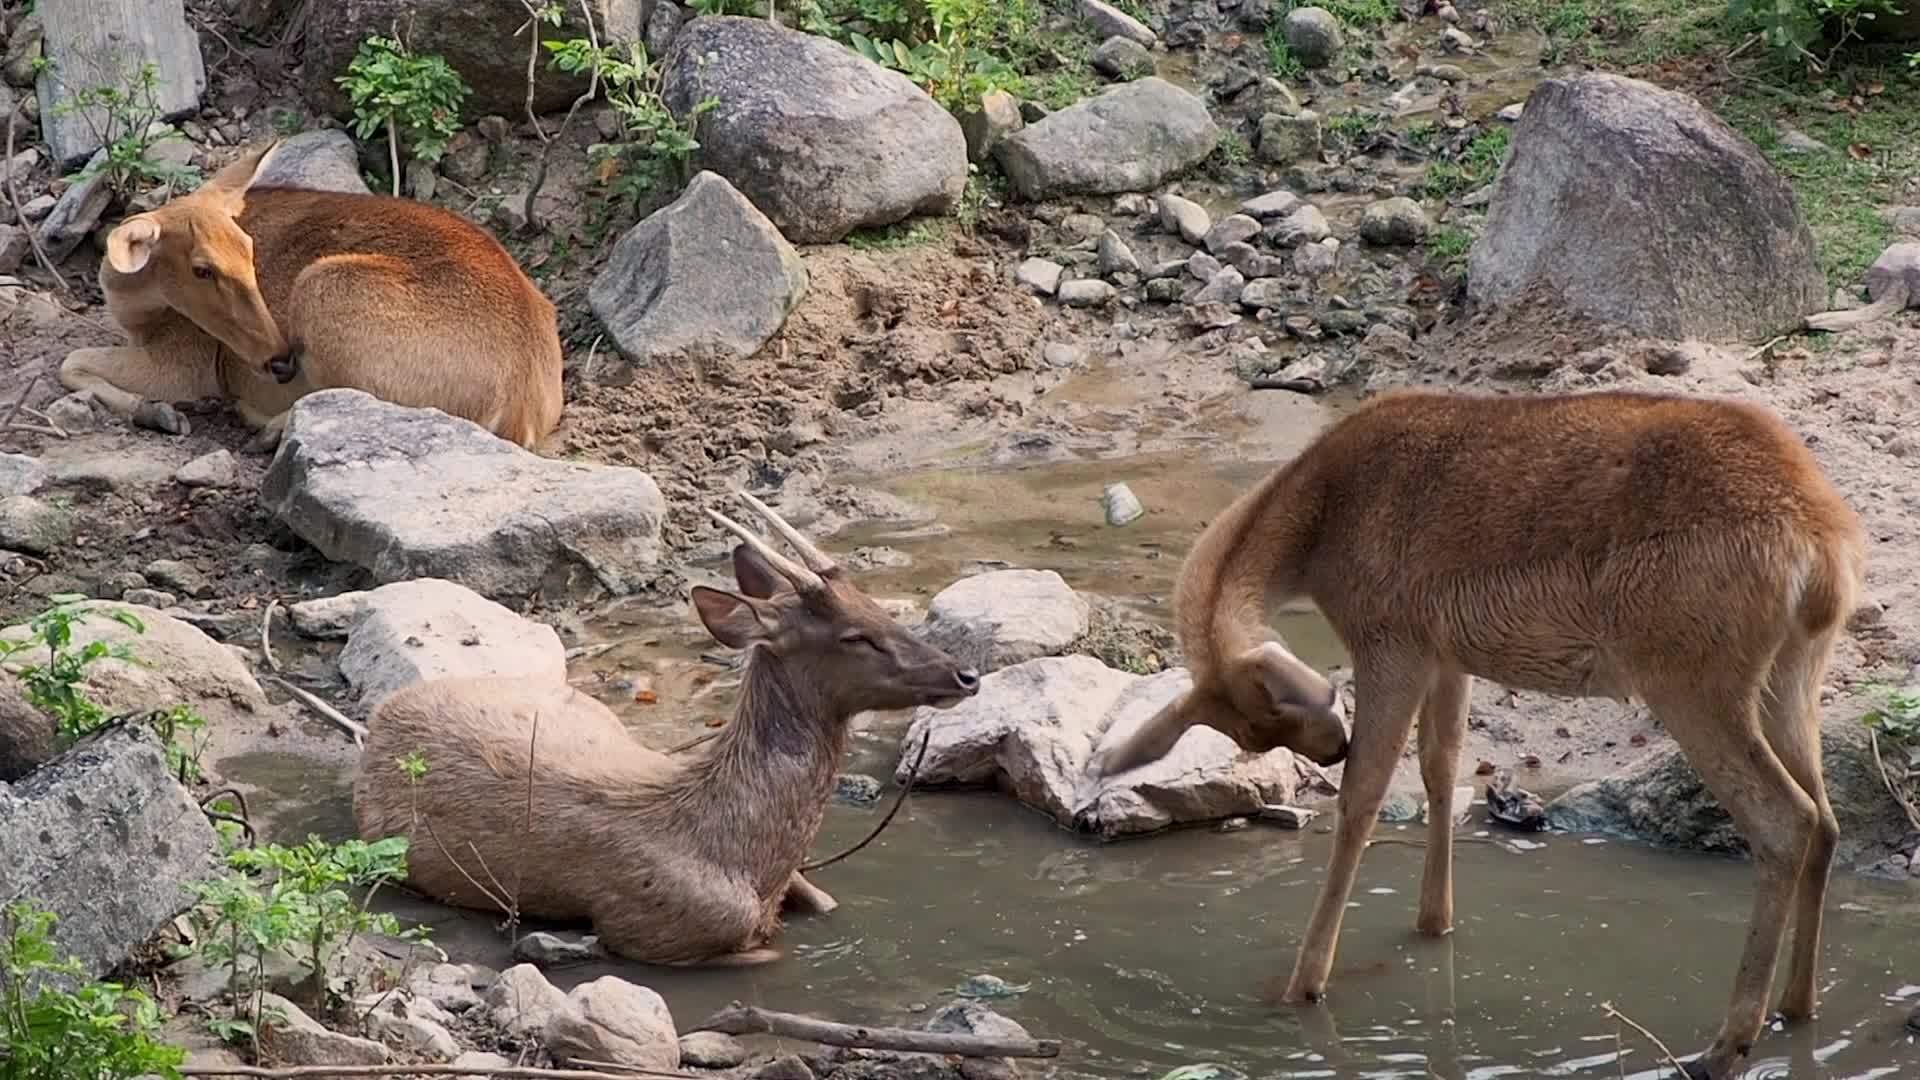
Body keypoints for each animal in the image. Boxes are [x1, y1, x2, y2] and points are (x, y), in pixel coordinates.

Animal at [54, 137, 560, 449]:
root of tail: (520, 407)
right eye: (202, 269)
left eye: (249, 249)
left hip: (325, 289)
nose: (280, 359)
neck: (133, 306)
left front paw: (160, 413)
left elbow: (69, 362)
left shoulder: (185, 363)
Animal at [355, 491, 983, 960]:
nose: (967, 673)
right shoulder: (645, 931)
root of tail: (385, 712)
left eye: (878, 606)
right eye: (855, 636)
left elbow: (827, 903)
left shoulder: (799, 884)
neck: (745, 863)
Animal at [1090, 386, 1866, 1076]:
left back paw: (1727, 1043)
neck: (1320, 527)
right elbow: (1443, 768)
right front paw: (1434, 924)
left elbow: (1362, 801)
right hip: (1794, 671)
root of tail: (1825, 546)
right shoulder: (1447, 653)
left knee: (1786, 821)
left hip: (1692, 676)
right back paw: (1797, 1008)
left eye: (1265, 719)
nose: (1330, 746)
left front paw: (1303, 986)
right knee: (1827, 820)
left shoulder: (1391, 638)